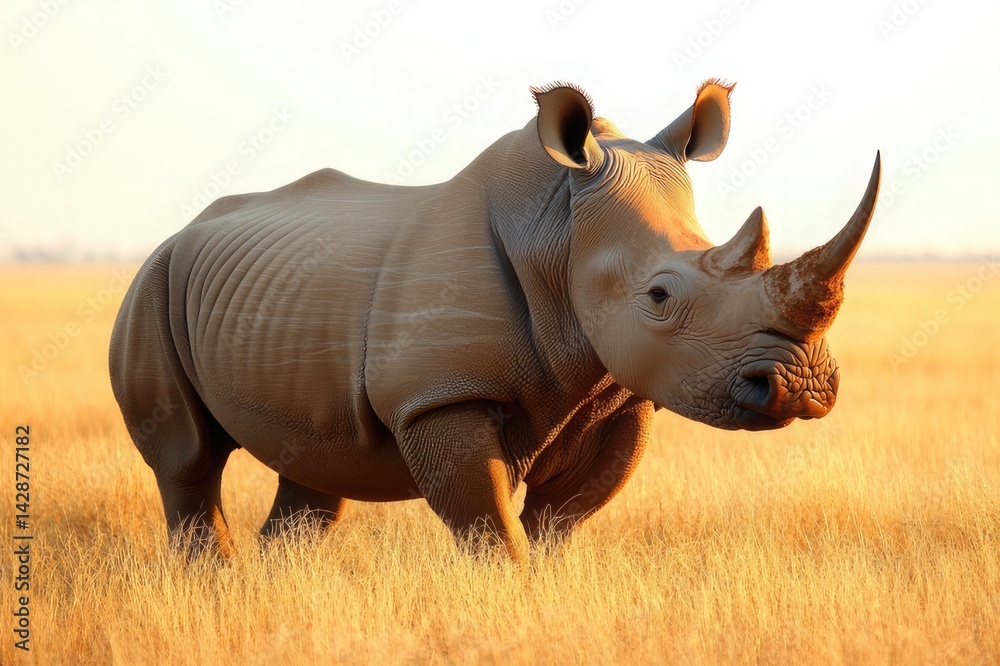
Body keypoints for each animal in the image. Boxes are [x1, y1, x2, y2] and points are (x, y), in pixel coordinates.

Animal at [109, 79, 880, 561]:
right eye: (659, 297)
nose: (803, 387)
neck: (560, 236)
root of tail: (180, 232)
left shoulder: (619, 394)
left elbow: (558, 523)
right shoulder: (439, 395)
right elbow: (489, 527)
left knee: (314, 473)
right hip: (152, 284)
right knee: (187, 460)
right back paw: (213, 583)